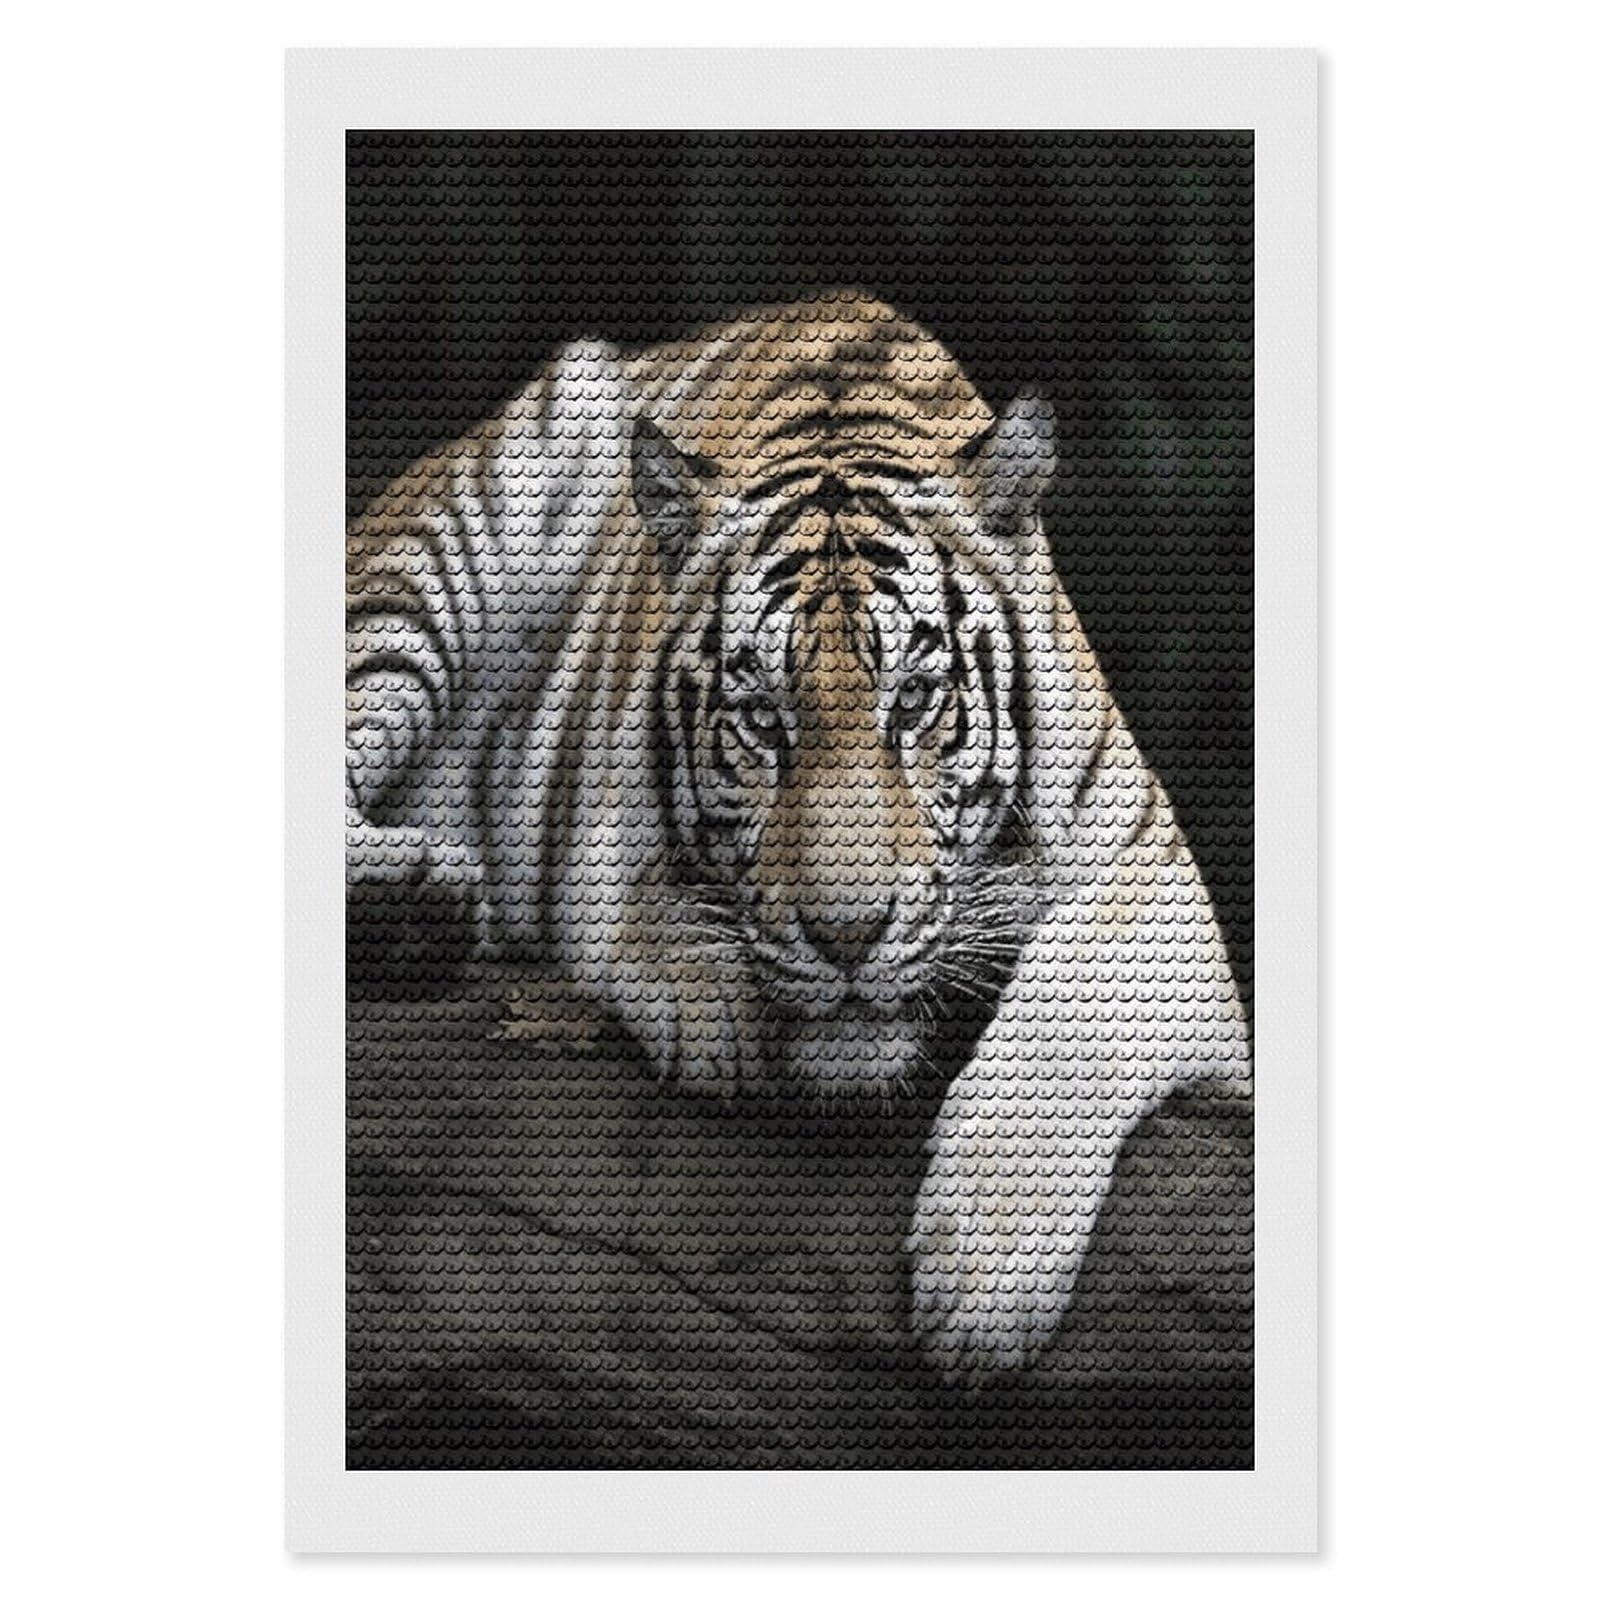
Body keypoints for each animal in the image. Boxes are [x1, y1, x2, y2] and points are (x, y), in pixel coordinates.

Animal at [346, 291, 1252, 1373]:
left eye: (914, 702)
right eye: (762, 719)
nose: (847, 939)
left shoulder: (1155, 883)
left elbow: (1074, 1015)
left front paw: (984, 1279)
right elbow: (629, 898)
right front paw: (708, 1000)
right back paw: (407, 896)